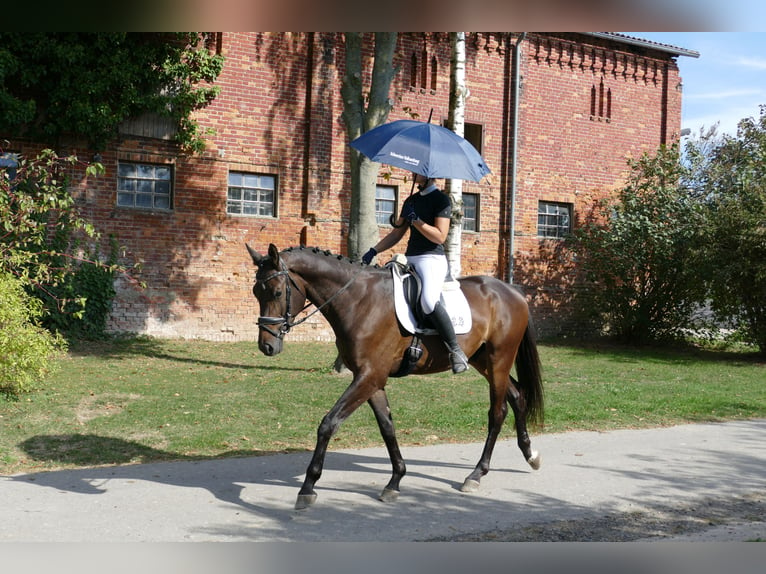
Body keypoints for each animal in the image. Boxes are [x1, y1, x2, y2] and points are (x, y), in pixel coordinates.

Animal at [248, 242, 544, 508]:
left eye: (276, 292)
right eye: (255, 292)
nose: (266, 346)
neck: (358, 299)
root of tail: (512, 291)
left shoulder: (369, 377)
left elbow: (328, 423)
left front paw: (308, 487)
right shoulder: (372, 379)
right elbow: (387, 427)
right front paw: (395, 480)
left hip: (499, 360)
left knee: (497, 412)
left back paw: (476, 474)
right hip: (485, 362)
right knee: (517, 396)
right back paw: (530, 455)